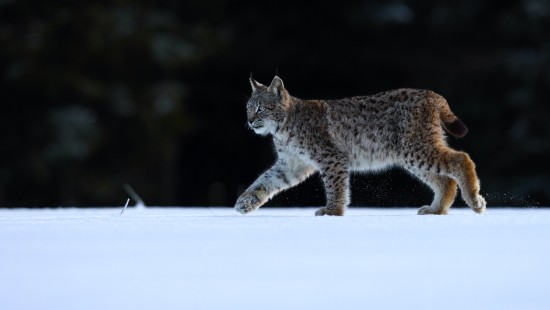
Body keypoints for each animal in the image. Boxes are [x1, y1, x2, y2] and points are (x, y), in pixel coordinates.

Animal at [237, 75, 488, 216]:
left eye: (261, 109)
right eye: (248, 109)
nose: (249, 122)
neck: (282, 127)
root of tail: (430, 93)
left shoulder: (332, 158)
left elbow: (335, 186)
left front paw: (333, 211)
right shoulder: (292, 164)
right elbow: (265, 181)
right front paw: (246, 202)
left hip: (414, 148)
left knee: (462, 159)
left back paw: (474, 201)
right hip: (410, 152)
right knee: (446, 180)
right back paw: (436, 210)